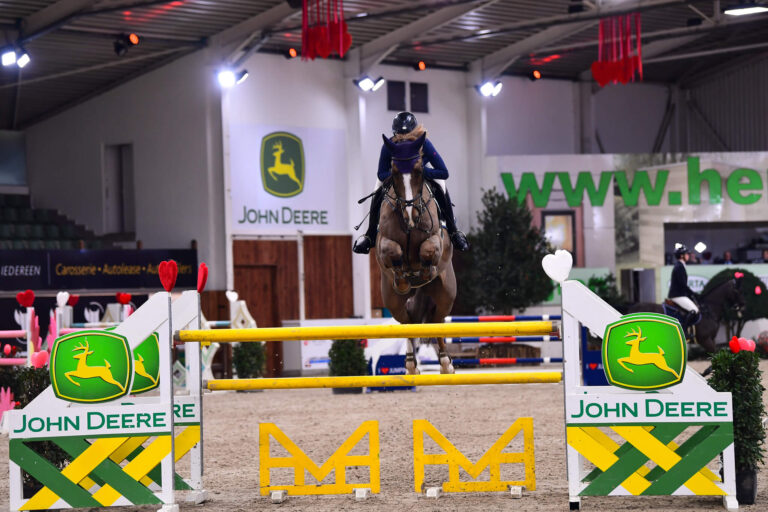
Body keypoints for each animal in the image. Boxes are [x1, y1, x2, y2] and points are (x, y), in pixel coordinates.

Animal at [376, 130, 456, 374]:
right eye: (394, 172)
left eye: (420, 171)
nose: (411, 215)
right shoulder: (383, 243)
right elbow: (391, 250)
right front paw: (403, 277)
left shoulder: (437, 240)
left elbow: (428, 250)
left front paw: (424, 270)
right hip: (392, 301)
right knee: (407, 322)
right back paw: (411, 365)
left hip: (446, 294)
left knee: (437, 321)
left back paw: (446, 364)